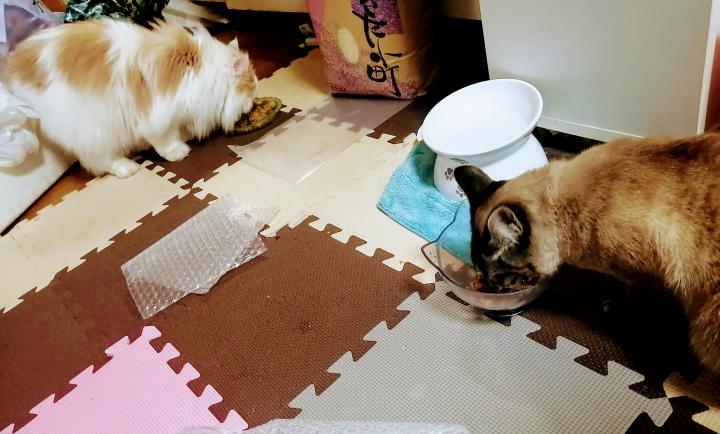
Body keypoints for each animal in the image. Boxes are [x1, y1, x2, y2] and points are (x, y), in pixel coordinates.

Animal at [3, 19, 257, 177]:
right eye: (251, 89)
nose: (253, 102)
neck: (201, 69)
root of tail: (13, 66)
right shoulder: (157, 116)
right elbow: (165, 139)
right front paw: (178, 151)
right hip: (92, 130)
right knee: (99, 159)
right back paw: (126, 167)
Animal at [454, 134, 720, 372]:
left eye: (498, 276)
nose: (494, 286)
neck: (563, 210)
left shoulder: (647, 277)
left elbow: (635, 299)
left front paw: (620, 311)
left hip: (706, 328)